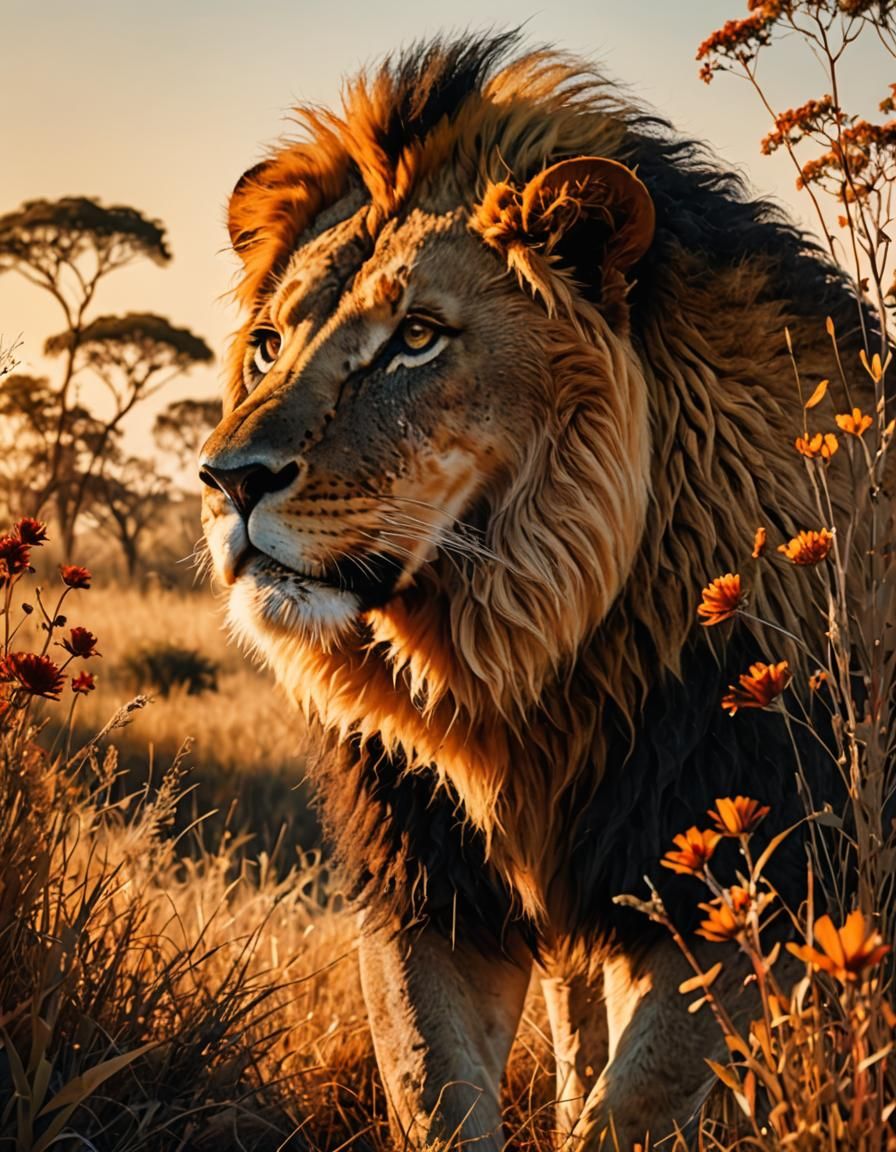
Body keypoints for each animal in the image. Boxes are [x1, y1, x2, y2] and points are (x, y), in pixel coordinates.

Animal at [200, 33, 864, 1149]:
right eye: (267, 345)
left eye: (416, 338)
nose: (228, 481)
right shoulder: (428, 888)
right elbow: (432, 1088)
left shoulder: (737, 883)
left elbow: (632, 1105)